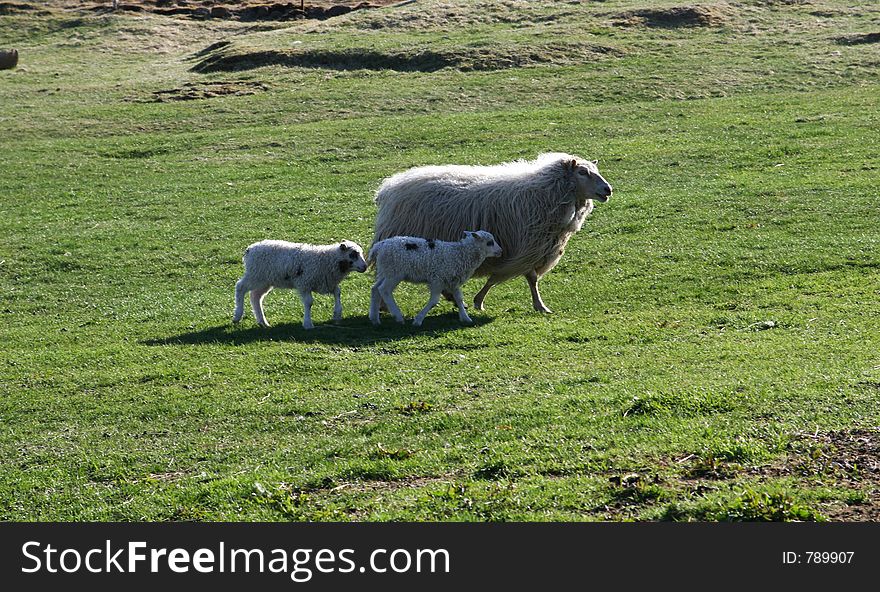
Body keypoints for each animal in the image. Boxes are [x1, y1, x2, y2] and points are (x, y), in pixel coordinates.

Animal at [232, 242, 366, 332]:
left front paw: (337, 314)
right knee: (240, 287)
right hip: (255, 275)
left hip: (265, 280)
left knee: (255, 296)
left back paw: (263, 322)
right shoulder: (304, 283)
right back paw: (237, 315)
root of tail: (250, 249)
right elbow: (309, 302)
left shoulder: (327, 282)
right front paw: (308, 323)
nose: (365, 267)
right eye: (353, 254)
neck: (327, 259)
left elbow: (337, 292)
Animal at [364, 230, 502, 326]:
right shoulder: (437, 280)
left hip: (385, 271)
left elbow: (459, 298)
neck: (461, 253)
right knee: (384, 290)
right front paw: (418, 320)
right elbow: (434, 301)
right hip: (394, 273)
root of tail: (379, 246)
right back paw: (398, 317)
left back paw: (375, 319)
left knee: (375, 289)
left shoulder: (452, 280)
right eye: (489, 242)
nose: (500, 251)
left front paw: (466, 318)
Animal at [372, 153, 612, 314]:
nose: (608, 190)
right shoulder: (525, 246)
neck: (547, 193)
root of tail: (389, 188)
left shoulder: (533, 247)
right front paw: (538, 305)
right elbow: (517, 277)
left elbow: (522, 278)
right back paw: (385, 306)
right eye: (582, 172)